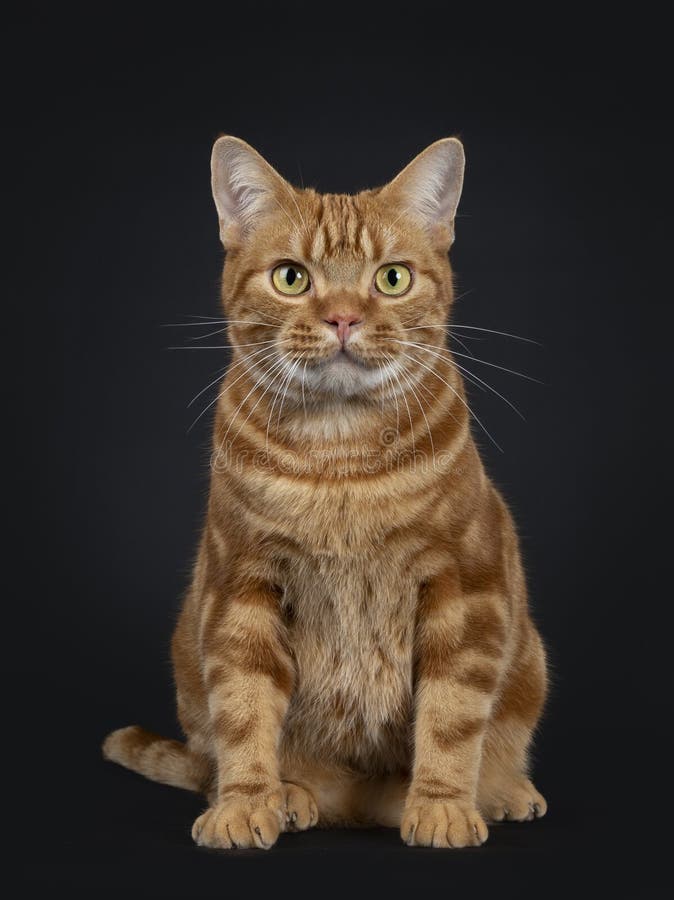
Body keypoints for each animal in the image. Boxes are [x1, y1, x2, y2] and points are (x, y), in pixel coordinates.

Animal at [103, 135, 544, 852]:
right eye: (292, 278)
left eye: (391, 278)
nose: (342, 317)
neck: (340, 458)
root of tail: (357, 807)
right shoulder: (241, 584)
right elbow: (244, 711)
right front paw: (247, 803)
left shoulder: (464, 587)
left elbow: (452, 719)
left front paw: (443, 807)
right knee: (214, 755)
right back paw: (291, 794)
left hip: (529, 661)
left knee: (497, 741)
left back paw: (501, 792)